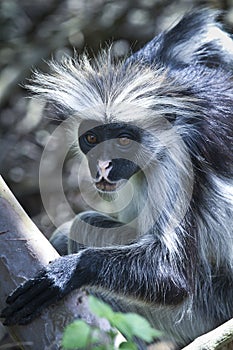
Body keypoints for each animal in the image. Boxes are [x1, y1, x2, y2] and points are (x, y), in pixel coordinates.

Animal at [0, 8, 233, 350]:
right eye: (92, 138)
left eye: (124, 141)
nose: (103, 167)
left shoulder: (177, 161)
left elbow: (171, 276)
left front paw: (69, 271)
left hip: (209, 307)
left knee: (82, 228)